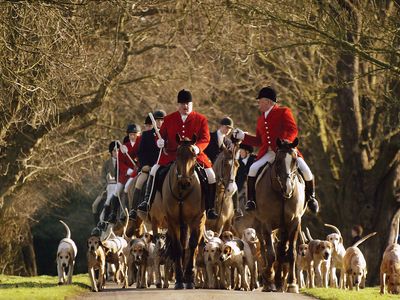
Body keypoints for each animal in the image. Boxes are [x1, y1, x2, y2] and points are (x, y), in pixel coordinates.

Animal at [162, 135, 206, 290]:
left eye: (194, 155)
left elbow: (192, 246)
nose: (185, 182)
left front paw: (189, 278)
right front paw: (179, 280)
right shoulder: (172, 221)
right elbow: (178, 247)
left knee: (194, 247)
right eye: (177, 154)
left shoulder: (196, 220)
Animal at [253, 138, 306, 292]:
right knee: (265, 249)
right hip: (260, 225)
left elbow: (291, 253)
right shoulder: (267, 223)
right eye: (278, 161)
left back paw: (278, 281)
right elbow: (270, 254)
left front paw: (292, 283)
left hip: (283, 227)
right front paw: (269, 278)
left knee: (282, 250)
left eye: (295, 160)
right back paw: (269, 280)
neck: (281, 194)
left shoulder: (294, 222)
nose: (288, 188)